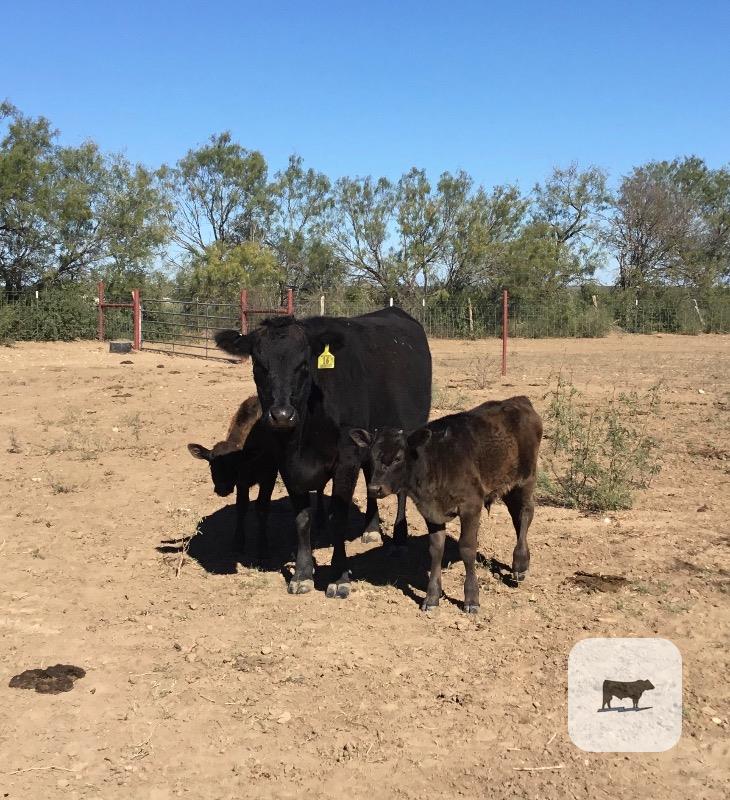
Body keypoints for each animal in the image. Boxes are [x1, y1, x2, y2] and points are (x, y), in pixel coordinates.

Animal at [214, 307, 432, 598]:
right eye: (258, 365)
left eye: (304, 365)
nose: (282, 415)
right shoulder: (288, 464)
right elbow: (302, 519)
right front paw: (302, 574)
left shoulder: (347, 458)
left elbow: (339, 516)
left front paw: (339, 577)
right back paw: (371, 529)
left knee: (402, 491)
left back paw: (398, 539)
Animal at [350, 396, 542, 613]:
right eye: (371, 456)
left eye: (398, 457)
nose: (374, 488)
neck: (435, 462)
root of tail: (519, 400)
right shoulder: (430, 512)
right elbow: (436, 549)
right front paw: (432, 596)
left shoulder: (471, 506)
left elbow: (467, 548)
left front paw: (471, 599)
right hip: (507, 486)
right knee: (516, 517)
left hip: (526, 479)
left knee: (525, 514)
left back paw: (520, 565)